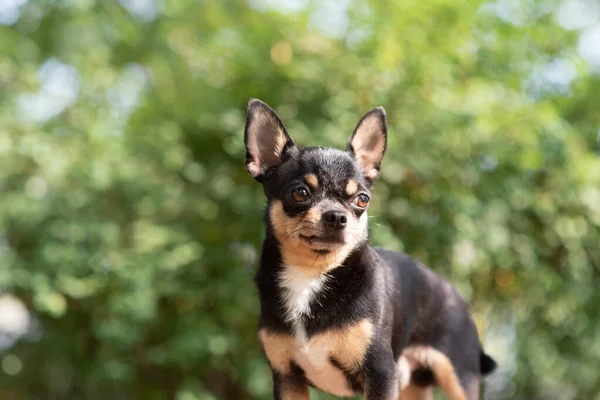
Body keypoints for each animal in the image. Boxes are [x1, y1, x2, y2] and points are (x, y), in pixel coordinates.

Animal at [244, 97, 496, 400]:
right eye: (300, 193)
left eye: (362, 200)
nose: (336, 216)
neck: (312, 274)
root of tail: (451, 290)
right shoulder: (287, 378)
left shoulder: (381, 374)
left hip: (458, 377)